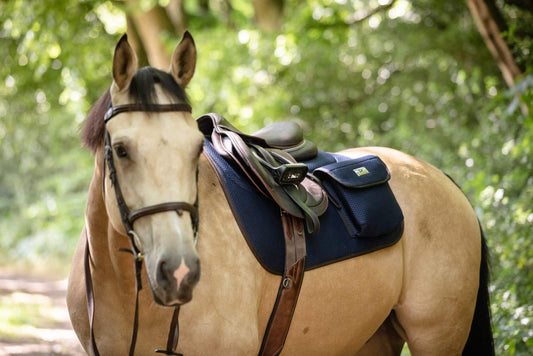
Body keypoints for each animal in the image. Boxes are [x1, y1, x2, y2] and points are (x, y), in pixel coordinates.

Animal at [67, 32, 494, 354]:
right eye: (122, 150)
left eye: (193, 149)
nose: (179, 271)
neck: (125, 288)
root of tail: (439, 177)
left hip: (437, 336)